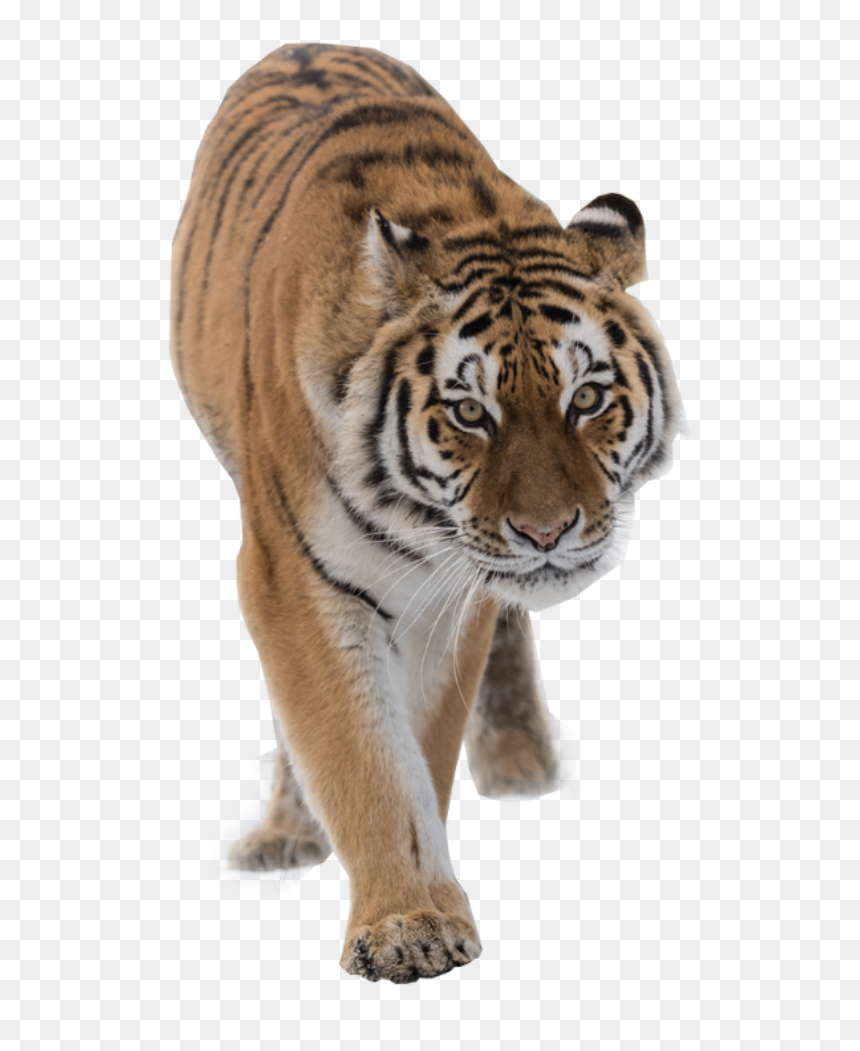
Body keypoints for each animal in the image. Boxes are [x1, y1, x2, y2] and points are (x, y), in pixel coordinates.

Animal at [170, 42, 682, 984]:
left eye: (587, 398)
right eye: (470, 412)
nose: (548, 532)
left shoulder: (454, 597)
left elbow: (424, 744)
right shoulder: (293, 576)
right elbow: (361, 757)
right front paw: (408, 924)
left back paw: (522, 765)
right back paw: (288, 831)